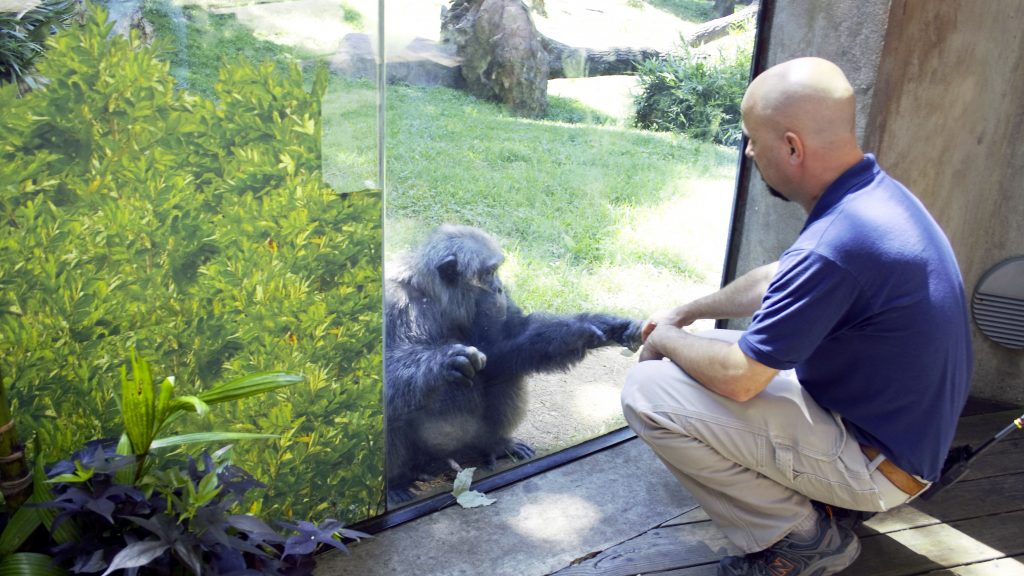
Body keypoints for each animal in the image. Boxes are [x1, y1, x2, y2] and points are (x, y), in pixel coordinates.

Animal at [385, 224, 638, 502]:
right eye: (488, 273)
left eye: (496, 270)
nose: (499, 287)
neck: (435, 298)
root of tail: (444, 461)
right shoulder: (393, 305)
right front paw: (445, 362)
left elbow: (505, 342)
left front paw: (593, 329)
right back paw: (395, 484)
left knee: (503, 374)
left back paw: (494, 445)